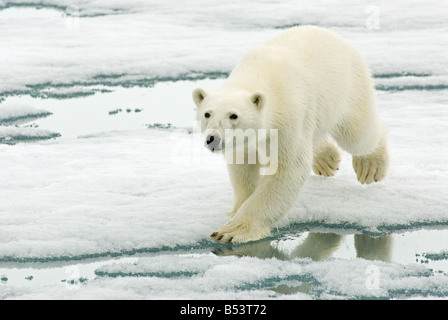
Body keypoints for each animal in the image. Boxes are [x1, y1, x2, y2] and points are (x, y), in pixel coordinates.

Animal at [192, 26, 388, 244]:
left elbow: (287, 169)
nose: (213, 139)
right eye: (207, 114)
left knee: (358, 134)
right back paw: (326, 160)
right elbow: (243, 166)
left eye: (233, 115)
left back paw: (370, 166)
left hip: (348, 88)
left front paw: (232, 231)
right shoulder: (247, 141)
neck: (259, 75)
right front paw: (236, 208)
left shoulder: (288, 117)